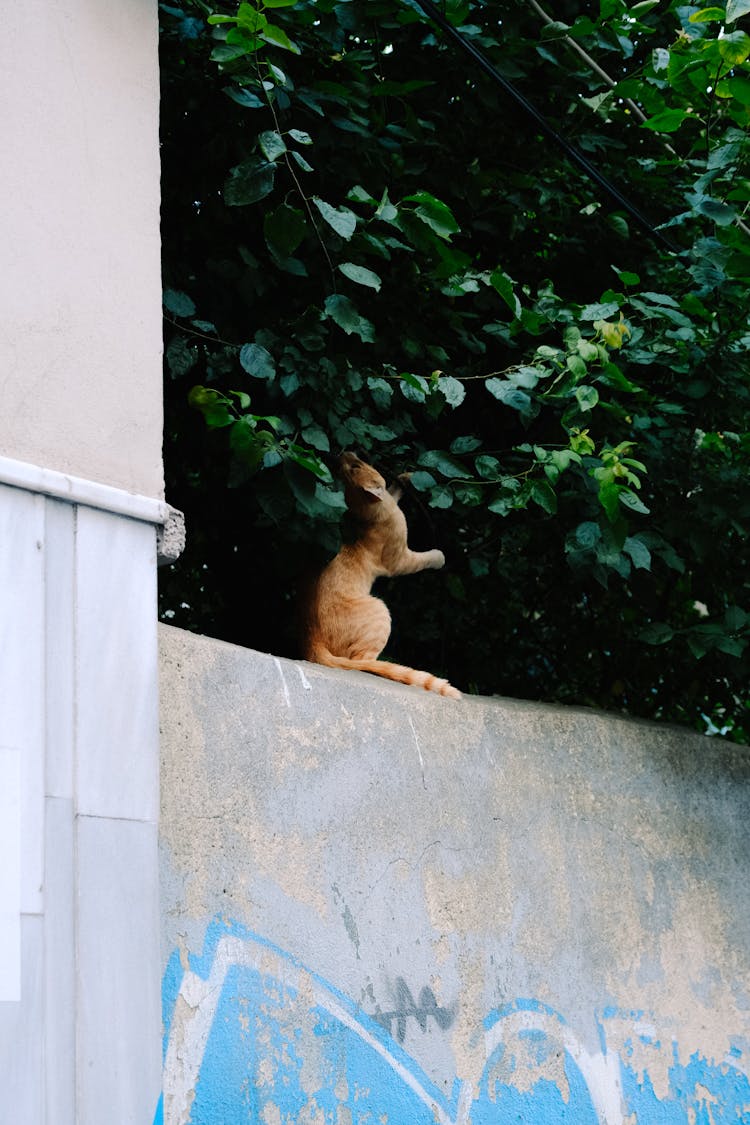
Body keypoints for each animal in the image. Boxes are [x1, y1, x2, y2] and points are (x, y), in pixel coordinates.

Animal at [301, 452, 461, 697]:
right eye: (355, 466)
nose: (343, 452)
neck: (367, 515)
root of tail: (312, 641)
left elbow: (395, 491)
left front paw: (406, 478)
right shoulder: (400, 560)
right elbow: (425, 558)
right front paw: (439, 557)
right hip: (380, 611)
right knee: (361, 661)